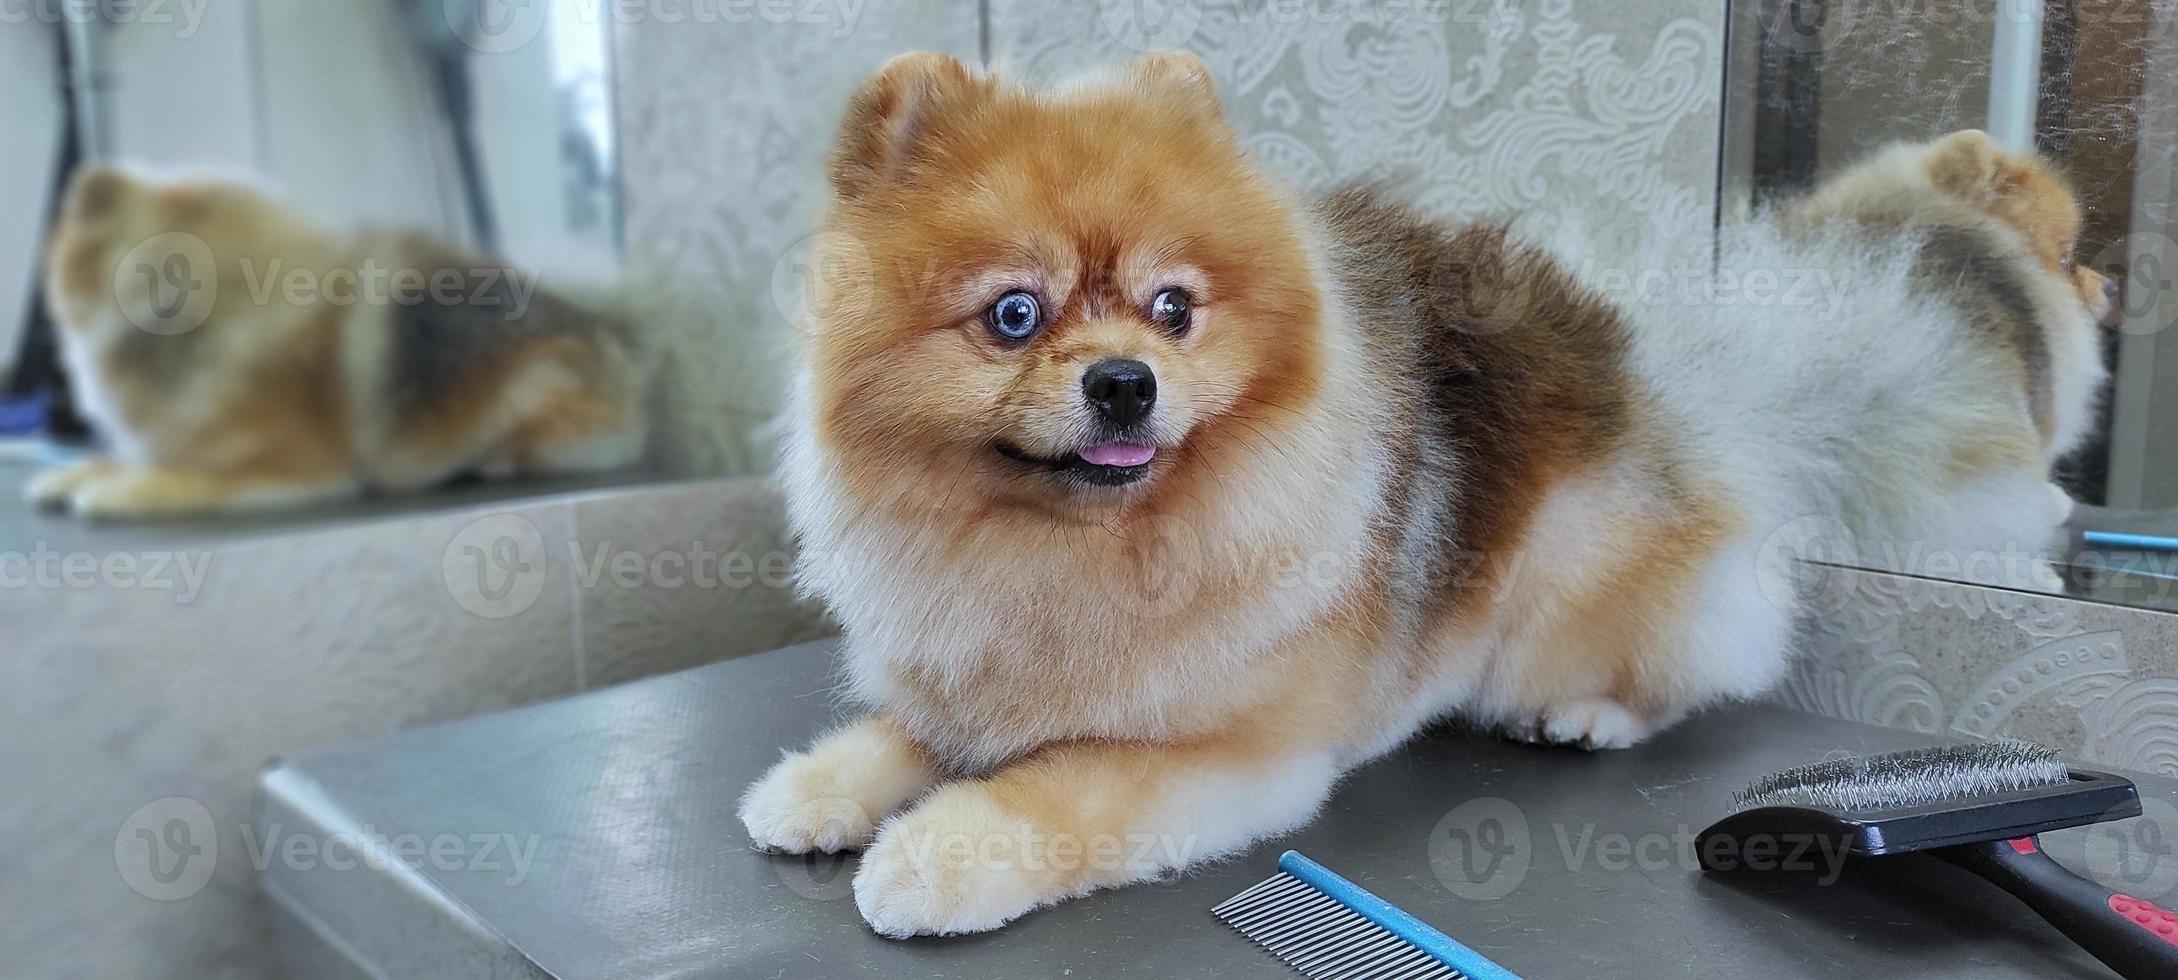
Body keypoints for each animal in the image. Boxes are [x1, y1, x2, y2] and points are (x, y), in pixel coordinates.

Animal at [27, 168, 644, 520]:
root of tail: (608, 330)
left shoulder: (292, 467)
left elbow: (176, 479)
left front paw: (117, 490)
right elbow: (125, 456)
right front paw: (76, 472)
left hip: (535, 384)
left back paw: (490, 462)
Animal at [744, 51, 2108, 932]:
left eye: (1175, 309)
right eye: (1014, 316)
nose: (1126, 382)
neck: (1067, 546)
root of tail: (1686, 386)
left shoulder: (1236, 750)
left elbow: (1063, 785)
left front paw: (943, 849)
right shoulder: (968, 669)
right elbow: (905, 728)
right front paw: (818, 784)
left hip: (1572, 585)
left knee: (1682, 671)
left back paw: (1587, 715)